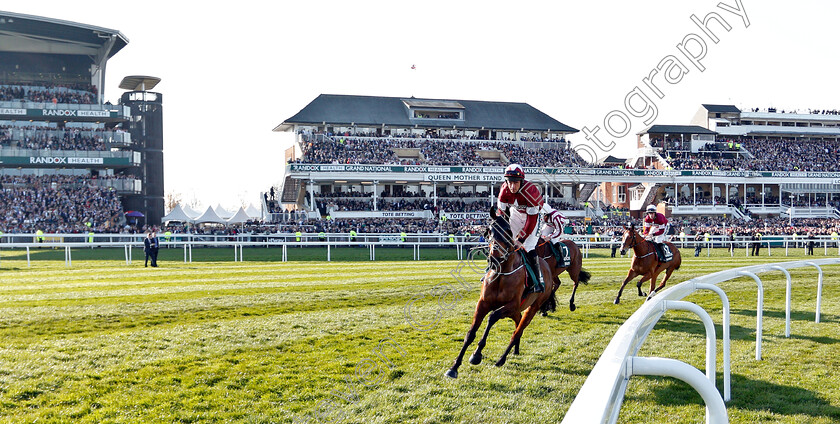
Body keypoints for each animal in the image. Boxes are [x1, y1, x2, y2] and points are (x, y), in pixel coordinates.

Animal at [442, 207, 556, 380]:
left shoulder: (511, 305)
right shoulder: (483, 303)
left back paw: (501, 359)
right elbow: (470, 333)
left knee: (517, 331)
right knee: (517, 324)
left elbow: (492, 317)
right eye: (489, 231)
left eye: (509, 232)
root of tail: (548, 268)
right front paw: (454, 367)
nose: (494, 257)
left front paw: (476, 354)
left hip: (532, 307)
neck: (501, 274)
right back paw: (515, 350)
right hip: (516, 311)